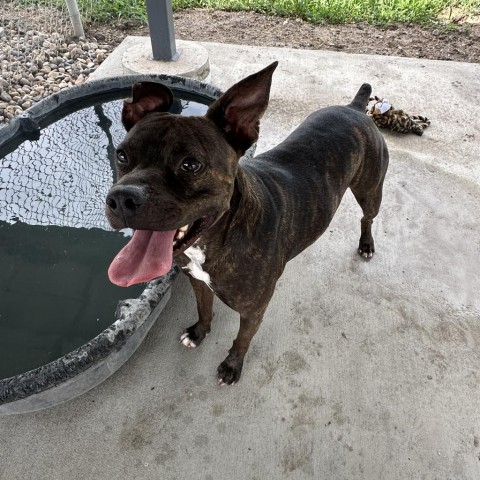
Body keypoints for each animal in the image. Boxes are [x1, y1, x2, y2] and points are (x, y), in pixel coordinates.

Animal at [106, 62, 390, 386]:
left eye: (190, 165)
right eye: (121, 155)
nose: (122, 198)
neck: (216, 239)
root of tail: (355, 108)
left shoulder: (253, 311)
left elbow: (242, 340)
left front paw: (231, 366)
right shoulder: (197, 282)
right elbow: (205, 309)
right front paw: (198, 333)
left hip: (370, 191)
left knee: (367, 217)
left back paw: (366, 244)